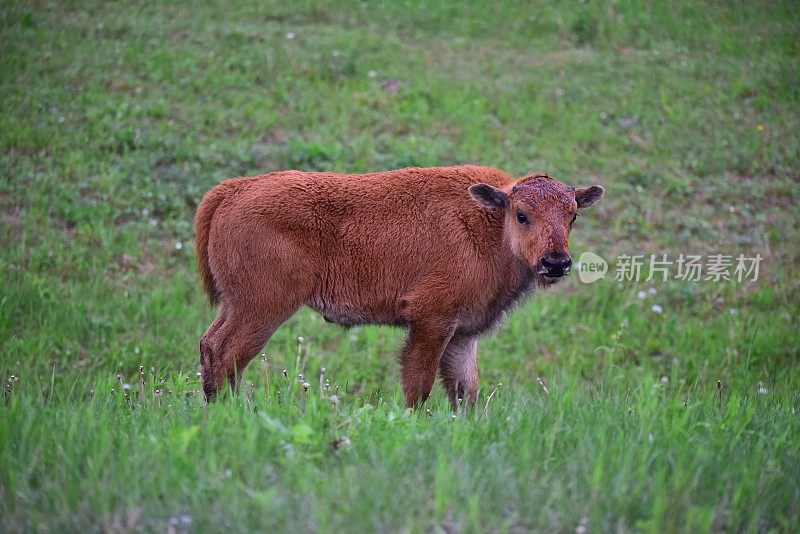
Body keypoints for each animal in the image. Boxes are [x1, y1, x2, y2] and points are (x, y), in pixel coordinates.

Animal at [195, 166, 600, 410]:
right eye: (522, 214)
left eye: (572, 215)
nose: (556, 262)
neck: (490, 224)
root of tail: (236, 189)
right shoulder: (432, 321)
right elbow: (418, 384)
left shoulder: (462, 333)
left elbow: (465, 389)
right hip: (263, 308)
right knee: (229, 354)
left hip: (235, 304)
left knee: (210, 345)